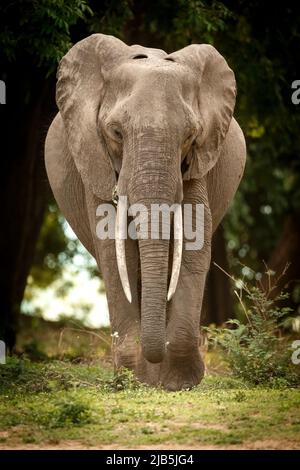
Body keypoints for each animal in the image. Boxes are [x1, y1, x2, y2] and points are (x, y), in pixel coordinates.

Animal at [45, 33, 246, 392]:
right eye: (116, 133)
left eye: (191, 136)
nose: (152, 361)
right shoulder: (94, 159)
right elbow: (114, 251)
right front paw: (131, 379)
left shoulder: (198, 162)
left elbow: (193, 244)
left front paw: (179, 382)